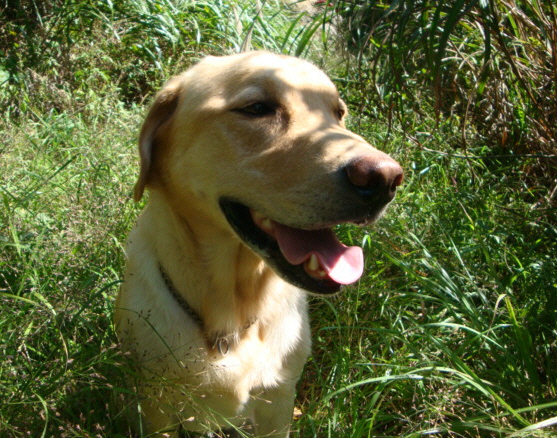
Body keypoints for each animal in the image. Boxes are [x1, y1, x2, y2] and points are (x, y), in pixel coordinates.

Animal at [114, 49, 400, 436]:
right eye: (256, 108)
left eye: (338, 113)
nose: (385, 178)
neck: (230, 324)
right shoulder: (155, 404)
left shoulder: (277, 400)